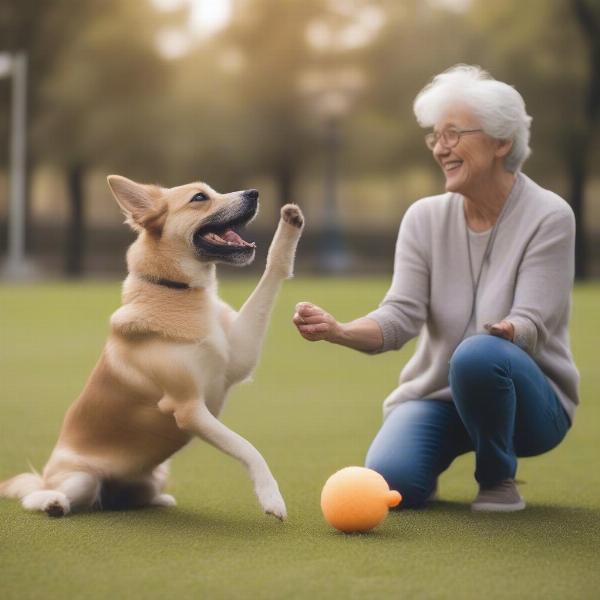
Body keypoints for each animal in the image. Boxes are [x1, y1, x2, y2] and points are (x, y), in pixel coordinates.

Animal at [0, 173, 304, 520]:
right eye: (200, 197)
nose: (254, 193)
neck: (176, 291)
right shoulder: (188, 408)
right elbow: (247, 447)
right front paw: (271, 497)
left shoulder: (238, 356)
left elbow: (272, 270)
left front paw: (291, 223)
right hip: (80, 478)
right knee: (39, 494)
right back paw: (53, 502)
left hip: (155, 475)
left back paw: (155, 501)